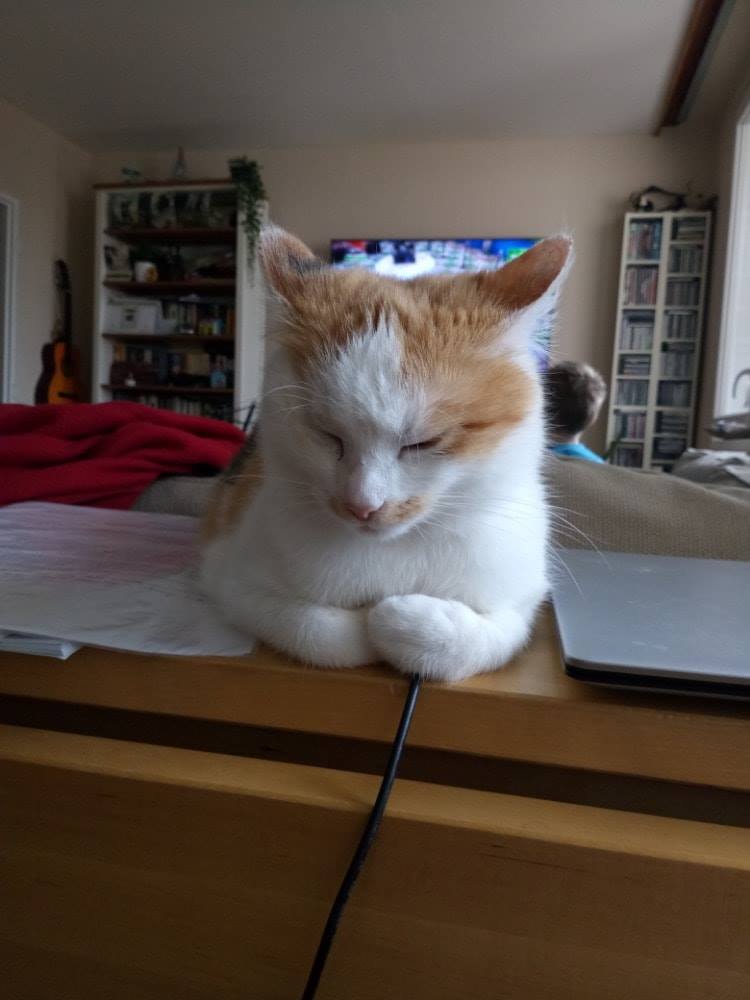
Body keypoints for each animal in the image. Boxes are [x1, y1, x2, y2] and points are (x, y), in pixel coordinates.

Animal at [200, 226, 572, 682]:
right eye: (326, 433)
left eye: (424, 442)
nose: (362, 505)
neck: (398, 549)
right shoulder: (232, 577)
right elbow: (316, 629)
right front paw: (368, 625)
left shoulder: (522, 600)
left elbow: (488, 637)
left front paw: (406, 624)